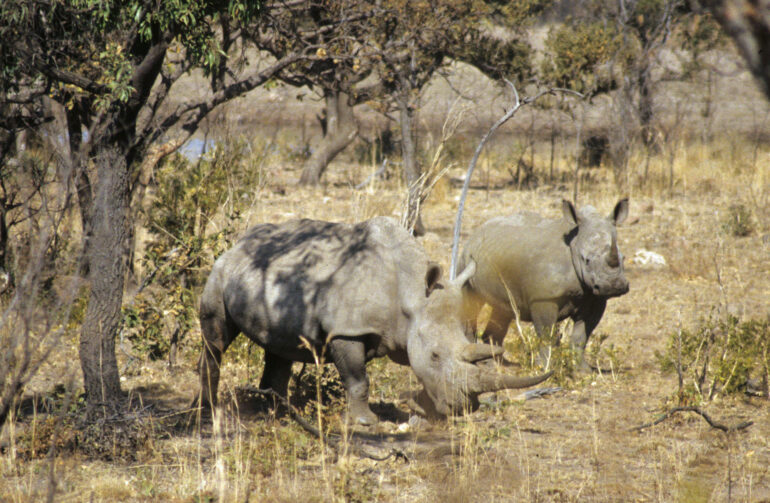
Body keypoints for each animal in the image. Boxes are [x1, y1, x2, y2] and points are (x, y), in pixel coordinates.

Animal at [196, 217, 552, 425]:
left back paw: (279, 413)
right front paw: (366, 422)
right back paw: (209, 409)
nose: (465, 408)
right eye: (436, 355)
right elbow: (358, 379)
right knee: (217, 338)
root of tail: (240, 241)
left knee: (279, 348)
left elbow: (418, 374)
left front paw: (419, 409)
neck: (413, 295)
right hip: (220, 271)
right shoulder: (347, 330)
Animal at [459, 199, 629, 369]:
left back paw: (500, 363)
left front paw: (582, 370)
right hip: (467, 259)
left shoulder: (596, 297)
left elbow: (581, 336)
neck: (574, 245)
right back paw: (480, 362)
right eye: (586, 260)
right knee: (470, 302)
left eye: (623, 258)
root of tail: (477, 231)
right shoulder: (543, 298)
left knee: (504, 308)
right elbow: (547, 335)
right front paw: (545, 367)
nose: (614, 285)